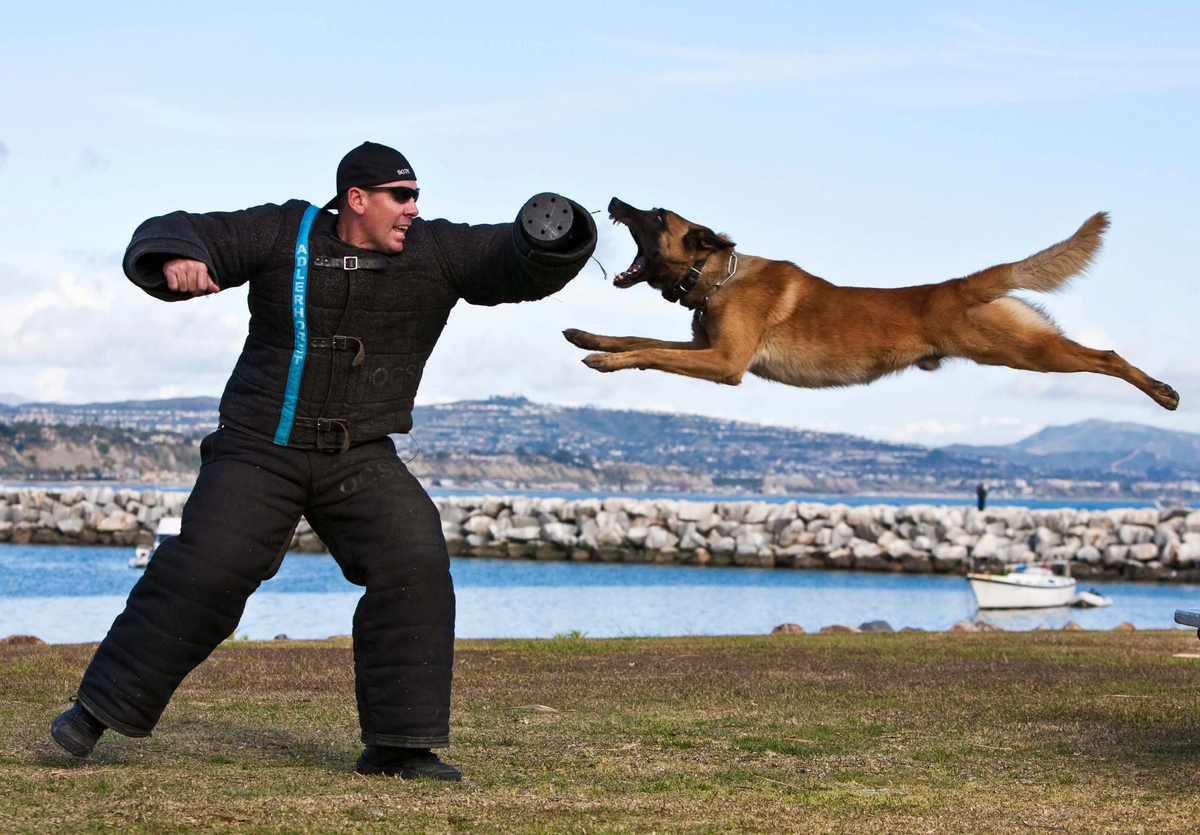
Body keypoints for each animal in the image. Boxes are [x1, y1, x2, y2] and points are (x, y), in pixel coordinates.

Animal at [564, 196, 1180, 410]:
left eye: (656, 216)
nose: (613, 199)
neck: (720, 277)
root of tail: (965, 283)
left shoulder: (725, 363)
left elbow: (650, 352)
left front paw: (605, 361)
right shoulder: (707, 349)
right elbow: (640, 340)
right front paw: (590, 339)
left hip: (1026, 352)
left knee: (1105, 356)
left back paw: (1162, 391)